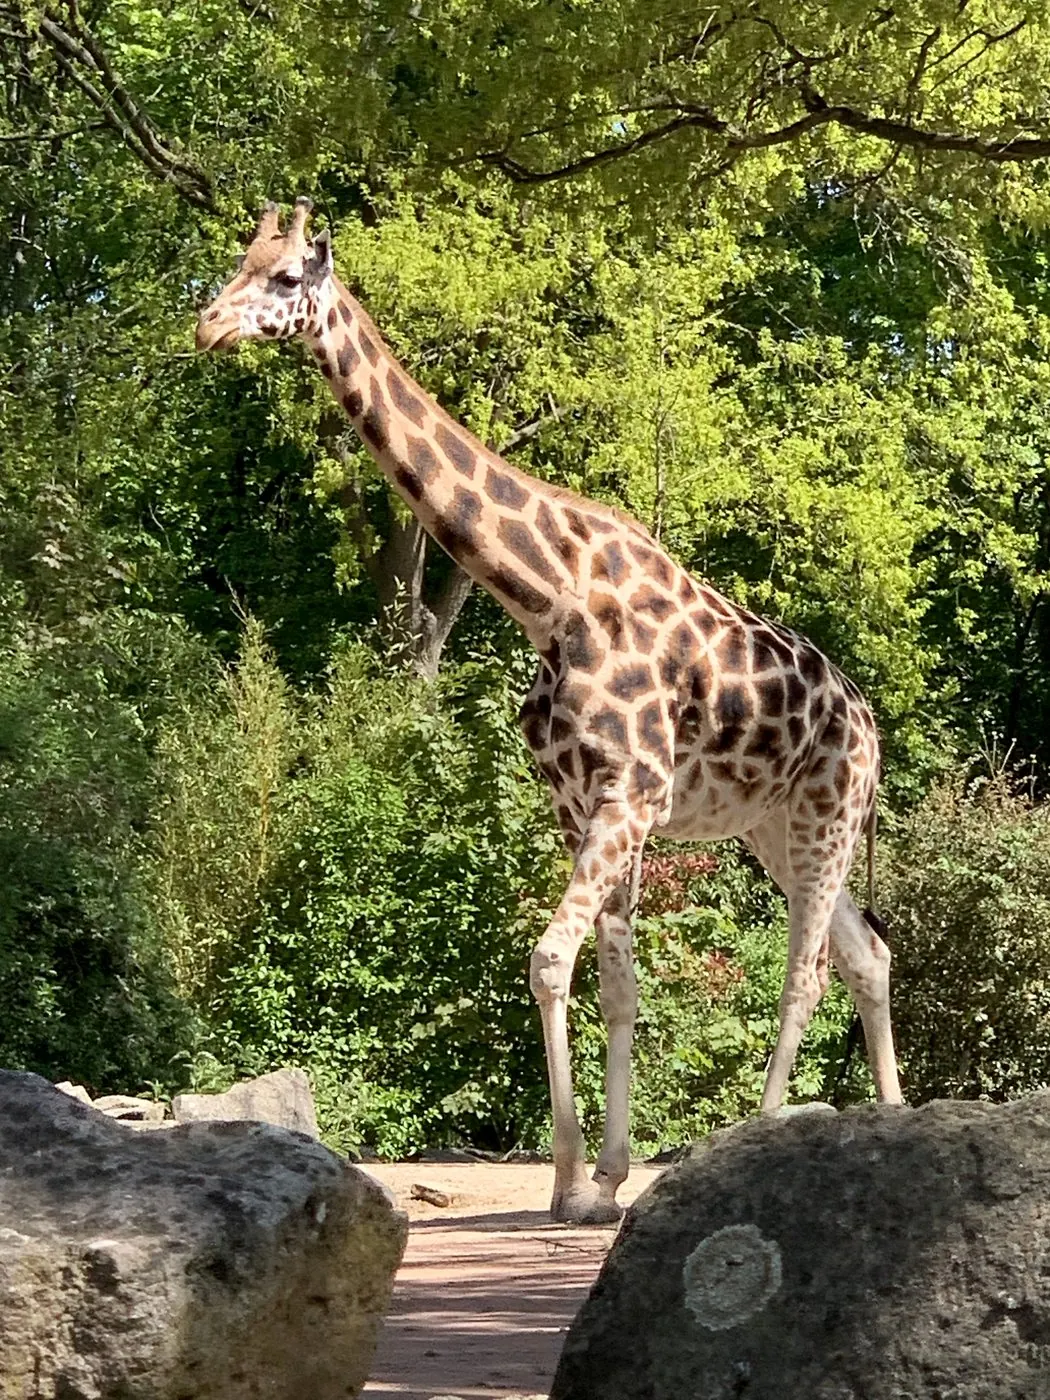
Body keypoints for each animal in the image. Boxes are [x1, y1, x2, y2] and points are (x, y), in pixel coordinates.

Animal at [196, 199, 903, 1224]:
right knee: (865, 953)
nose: (207, 326)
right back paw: (892, 1118)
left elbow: (547, 959)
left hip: (828, 810)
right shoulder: (582, 803)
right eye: (239, 264)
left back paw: (765, 1129)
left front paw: (575, 1181)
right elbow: (614, 982)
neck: (545, 597)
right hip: (772, 827)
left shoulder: (631, 796)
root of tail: (868, 720)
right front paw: (597, 1176)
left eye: (287, 277)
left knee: (807, 968)